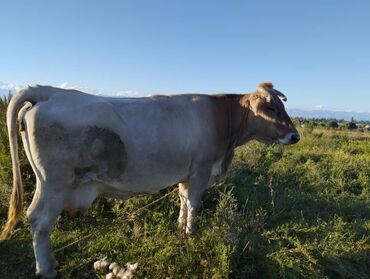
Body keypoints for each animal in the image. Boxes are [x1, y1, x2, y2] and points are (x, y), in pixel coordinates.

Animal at [0, 82, 300, 278]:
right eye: (271, 107)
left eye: (281, 105)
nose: (295, 135)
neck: (223, 120)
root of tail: (51, 91)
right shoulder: (201, 170)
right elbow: (194, 205)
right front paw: (191, 234)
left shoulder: (186, 174)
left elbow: (182, 200)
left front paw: (180, 227)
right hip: (54, 184)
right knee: (40, 221)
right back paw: (47, 268)